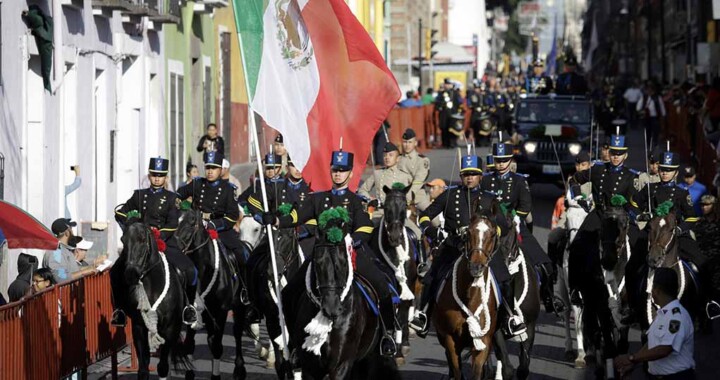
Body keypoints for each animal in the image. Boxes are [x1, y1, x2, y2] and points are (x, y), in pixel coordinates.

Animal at [115, 223, 190, 380]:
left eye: (143, 239)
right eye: (123, 240)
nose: (130, 274)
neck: (153, 288)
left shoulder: (170, 329)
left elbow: (163, 367)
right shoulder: (139, 327)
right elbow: (143, 368)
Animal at [174, 209, 250, 380]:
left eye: (191, 222)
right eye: (176, 221)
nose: (174, 246)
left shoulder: (221, 312)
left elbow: (217, 346)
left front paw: (216, 376)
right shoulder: (191, 312)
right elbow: (189, 345)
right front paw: (189, 374)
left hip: (239, 306)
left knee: (237, 332)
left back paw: (239, 369)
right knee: (210, 337)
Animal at [372, 185, 422, 366]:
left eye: (403, 207)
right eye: (386, 208)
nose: (395, 236)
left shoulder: (408, 284)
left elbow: (401, 314)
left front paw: (399, 350)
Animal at [434, 199, 500, 380]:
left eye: (492, 234)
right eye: (468, 233)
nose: (476, 266)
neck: (469, 296)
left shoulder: (483, 341)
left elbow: (477, 371)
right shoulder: (450, 339)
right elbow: (457, 370)